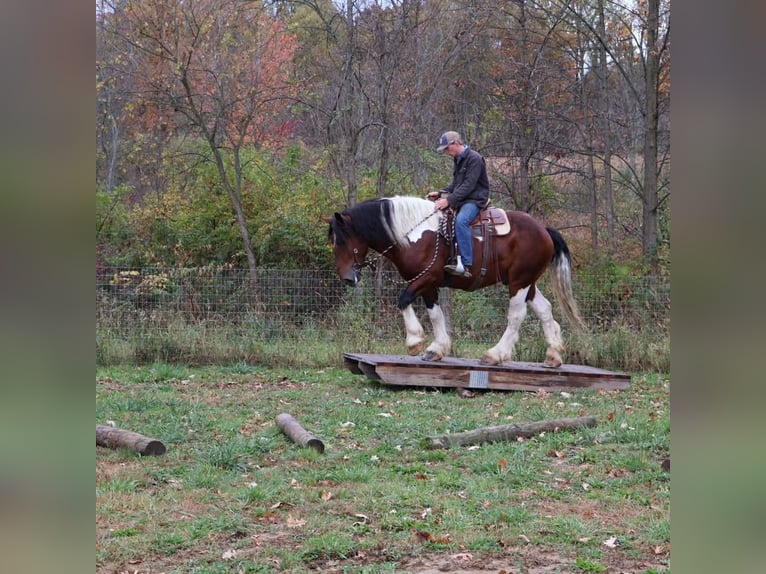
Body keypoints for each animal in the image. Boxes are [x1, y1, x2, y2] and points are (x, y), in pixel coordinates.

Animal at [325, 195, 585, 368]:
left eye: (342, 240)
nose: (347, 277)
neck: (415, 234)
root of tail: (544, 230)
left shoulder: (427, 278)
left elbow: (403, 299)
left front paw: (414, 341)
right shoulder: (428, 284)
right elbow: (435, 314)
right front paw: (437, 348)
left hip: (518, 282)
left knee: (516, 316)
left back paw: (495, 354)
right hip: (525, 282)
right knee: (544, 309)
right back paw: (553, 355)